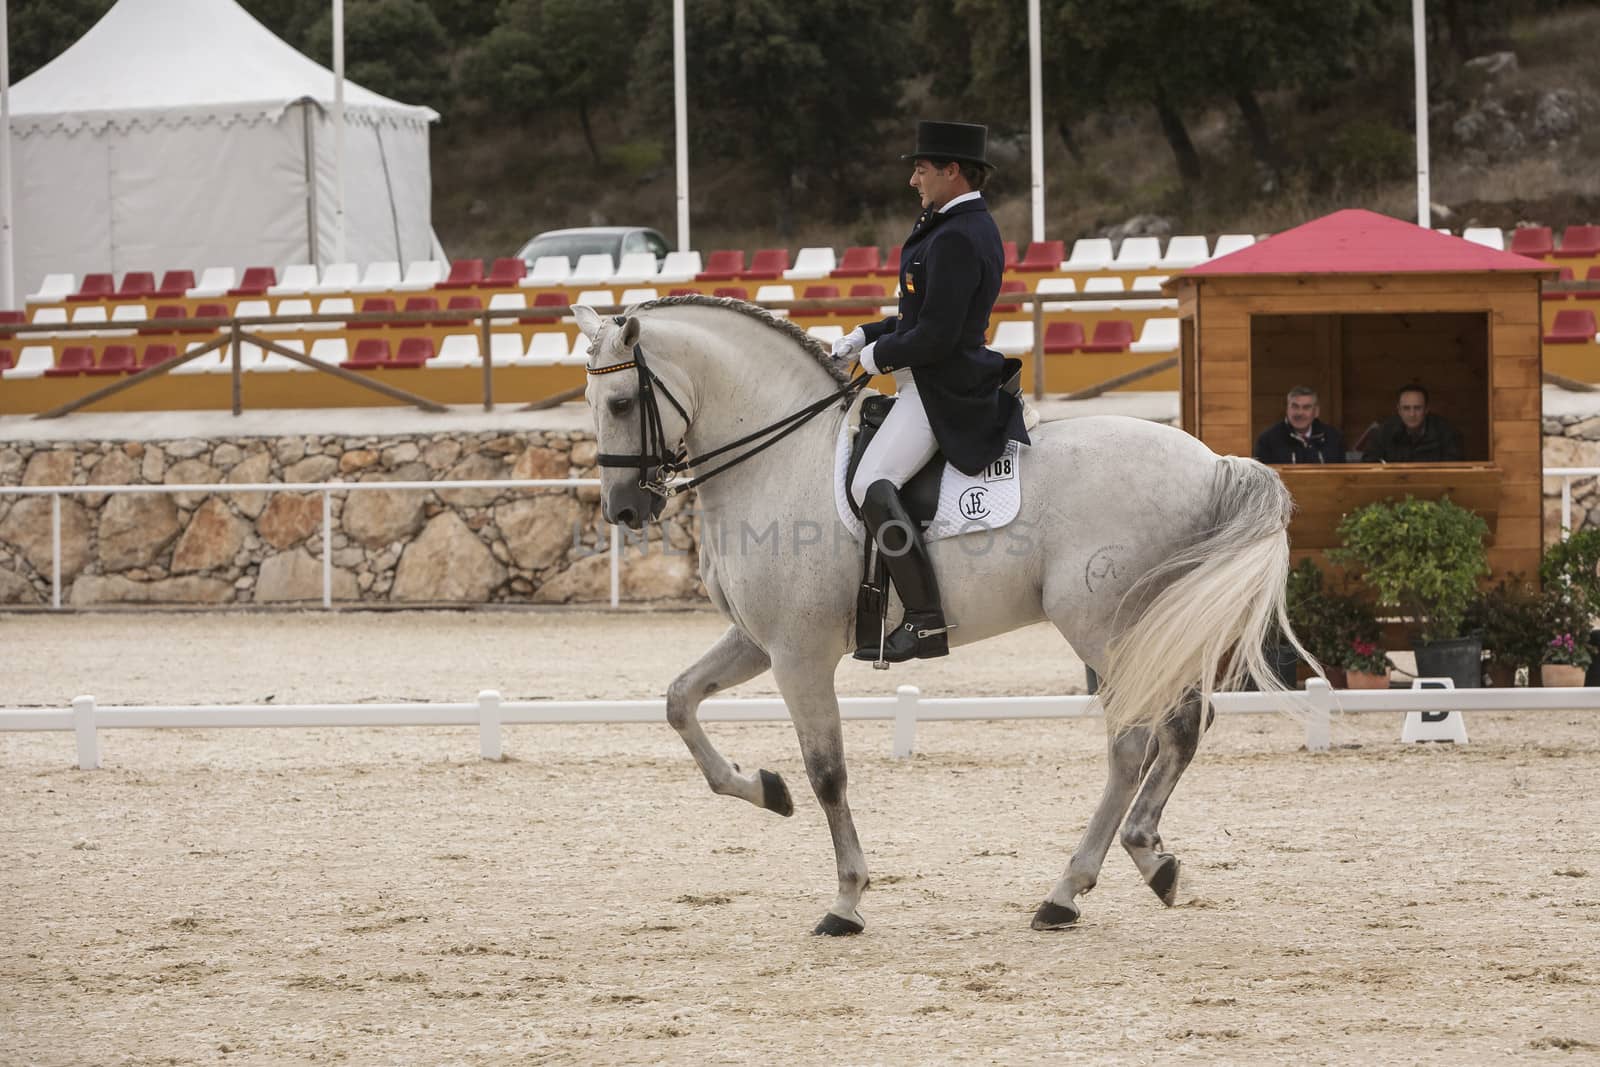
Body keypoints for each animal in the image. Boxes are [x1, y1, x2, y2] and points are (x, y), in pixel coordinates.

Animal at [576, 294, 1299, 934]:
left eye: (621, 403)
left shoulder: (798, 653)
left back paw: (1069, 890)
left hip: (1106, 627)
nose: (624, 510)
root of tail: (1213, 465)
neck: (777, 460)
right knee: (1184, 723)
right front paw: (765, 788)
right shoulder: (758, 641)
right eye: (591, 403)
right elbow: (679, 701)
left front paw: (847, 900)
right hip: (1152, 629)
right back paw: (1144, 859)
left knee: (1135, 739)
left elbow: (828, 773)